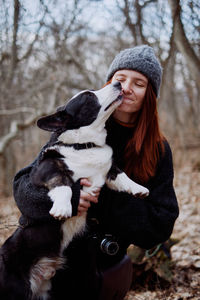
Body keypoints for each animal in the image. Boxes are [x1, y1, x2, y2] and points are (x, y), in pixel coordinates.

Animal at [0, 82, 148, 300]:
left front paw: (139, 189)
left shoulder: (109, 170)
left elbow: (122, 175)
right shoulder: (47, 170)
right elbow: (64, 185)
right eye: (88, 97)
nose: (118, 83)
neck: (83, 145)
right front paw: (62, 208)